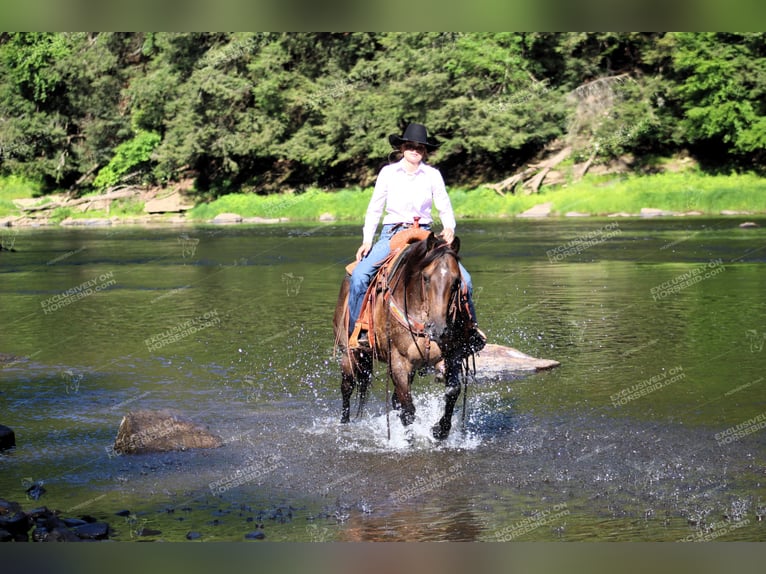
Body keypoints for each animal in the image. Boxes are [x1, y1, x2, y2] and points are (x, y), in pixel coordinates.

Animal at [334, 232, 476, 444]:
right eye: (426, 278)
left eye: (456, 281)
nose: (438, 330)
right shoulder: (399, 362)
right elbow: (408, 409)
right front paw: (409, 441)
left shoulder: (453, 355)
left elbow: (452, 391)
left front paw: (439, 431)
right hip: (348, 352)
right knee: (347, 386)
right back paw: (344, 424)